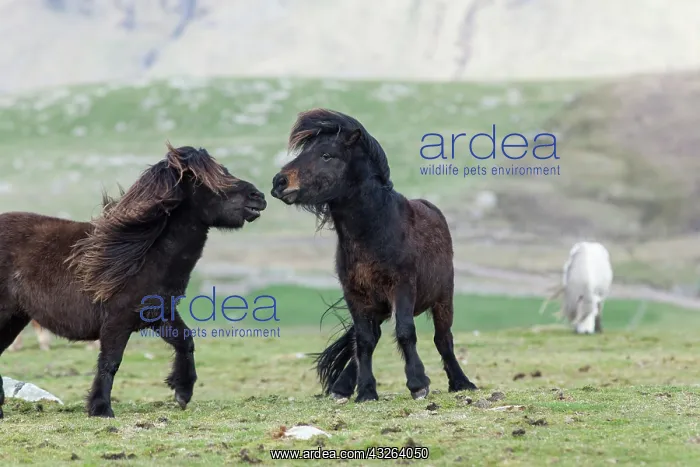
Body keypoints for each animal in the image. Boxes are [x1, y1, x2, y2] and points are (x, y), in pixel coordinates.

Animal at [0, 143, 266, 418]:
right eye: (203, 180)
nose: (258, 196)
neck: (144, 255)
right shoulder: (117, 321)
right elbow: (110, 362)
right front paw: (101, 408)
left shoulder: (159, 314)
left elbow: (185, 341)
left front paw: (182, 391)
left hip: (14, 319)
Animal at [270, 108, 478, 402]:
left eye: (326, 155)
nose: (280, 182)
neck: (375, 230)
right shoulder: (355, 295)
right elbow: (364, 340)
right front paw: (366, 391)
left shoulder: (402, 287)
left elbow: (405, 332)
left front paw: (418, 383)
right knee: (372, 336)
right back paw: (343, 386)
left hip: (442, 298)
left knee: (443, 338)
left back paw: (461, 381)